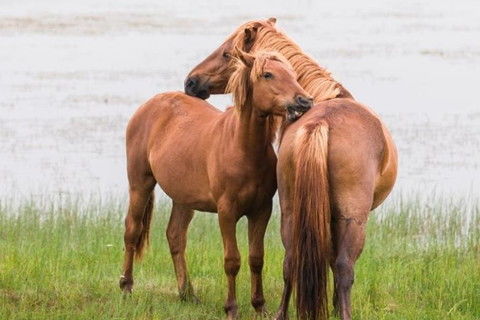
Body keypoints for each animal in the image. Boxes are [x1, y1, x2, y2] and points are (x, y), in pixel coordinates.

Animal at [121, 48, 312, 318]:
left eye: (294, 74)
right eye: (267, 74)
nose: (305, 102)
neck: (242, 149)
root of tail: (151, 104)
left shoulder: (261, 211)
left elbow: (256, 258)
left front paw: (259, 306)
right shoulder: (226, 212)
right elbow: (232, 261)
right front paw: (231, 308)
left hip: (183, 199)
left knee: (175, 236)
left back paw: (188, 294)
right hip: (140, 184)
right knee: (132, 230)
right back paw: (126, 287)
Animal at [184, 18, 398, 320]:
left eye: (227, 54)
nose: (191, 81)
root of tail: (322, 124)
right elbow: (336, 263)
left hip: (291, 210)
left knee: (292, 261)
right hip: (352, 218)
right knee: (344, 267)